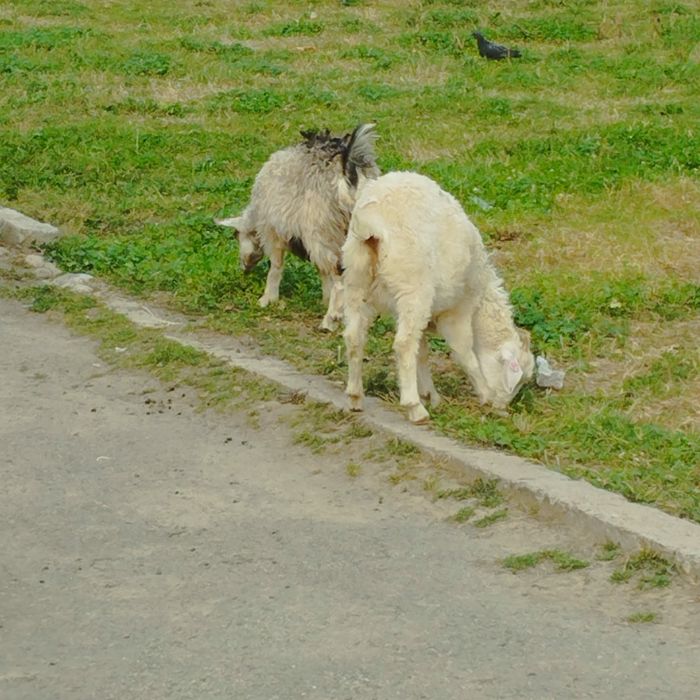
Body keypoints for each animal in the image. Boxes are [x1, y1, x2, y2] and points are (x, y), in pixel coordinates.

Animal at [216, 124, 379, 330]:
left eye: (236, 235)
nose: (244, 268)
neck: (255, 214)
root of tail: (348, 172)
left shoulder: (274, 231)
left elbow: (276, 265)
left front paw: (267, 299)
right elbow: (321, 272)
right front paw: (325, 299)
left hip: (323, 230)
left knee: (340, 278)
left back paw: (329, 321)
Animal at [342, 171, 534, 423]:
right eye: (517, 380)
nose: (503, 408)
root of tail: (371, 223)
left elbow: (422, 352)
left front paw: (430, 395)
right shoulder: (458, 311)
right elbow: (464, 354)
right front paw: (484, 393)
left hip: (356, 278)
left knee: (355, 337)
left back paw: (355, 397)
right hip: (413, 287)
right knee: (403, 344)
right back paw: (414, 408)